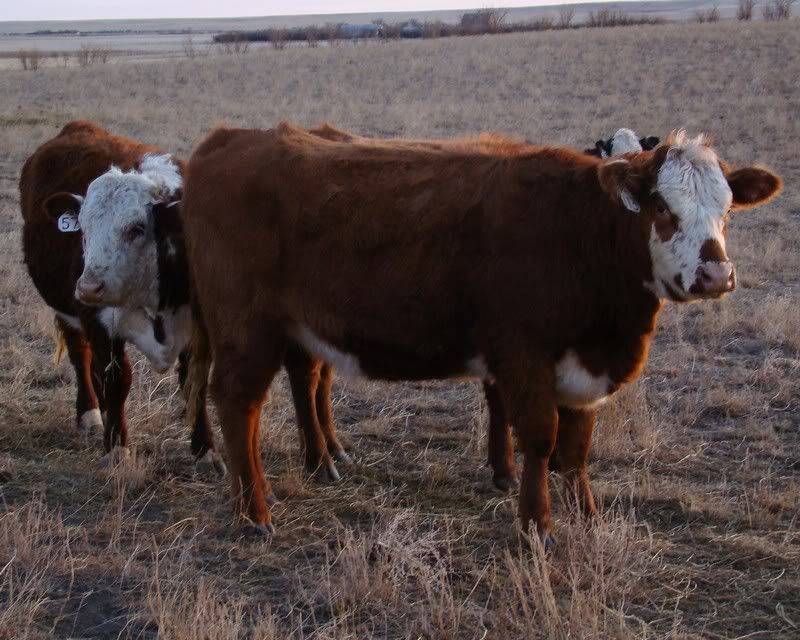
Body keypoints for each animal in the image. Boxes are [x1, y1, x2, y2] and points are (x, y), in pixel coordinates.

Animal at [180, 123, 781, 545]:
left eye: (728, 209)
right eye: (661, 206)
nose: (716, 276)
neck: (579, 231)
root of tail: (225, 141)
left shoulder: (582, 367)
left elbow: (577, 449)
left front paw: (587, 516)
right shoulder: (524, 356)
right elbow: (539, 439)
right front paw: (537, 526)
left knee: (284, 390)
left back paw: (300, 473)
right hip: (247, 330)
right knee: (238, 404)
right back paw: (253, 511)